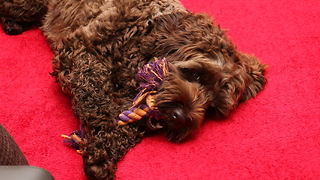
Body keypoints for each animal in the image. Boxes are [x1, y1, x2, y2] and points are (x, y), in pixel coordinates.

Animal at [0, 0, 268, 179]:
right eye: (195, 74)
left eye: (212, 108)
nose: (178, 117)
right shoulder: (79, 51)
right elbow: (94, 95)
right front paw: (102, 128)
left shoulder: (137, 97)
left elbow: (129, 123)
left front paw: (102, 153)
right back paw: (13, 23)